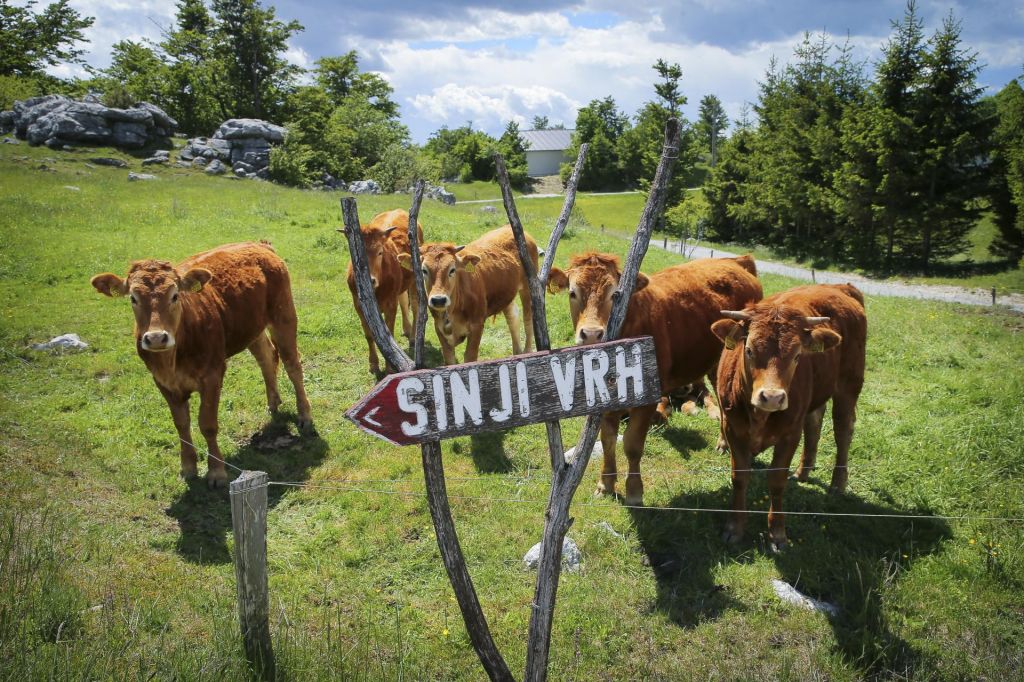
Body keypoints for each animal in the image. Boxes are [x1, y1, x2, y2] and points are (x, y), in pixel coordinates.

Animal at [92, 241, 315, 485]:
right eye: (133, 298)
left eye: (175, 295)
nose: (156, 337)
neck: (173, 359)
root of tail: (258, 245)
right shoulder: (163, 382)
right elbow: (181, 424)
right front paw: (188, 467)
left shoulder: (212, 375)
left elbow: (207, 424)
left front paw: (217, 472)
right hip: (251, 328)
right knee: (267, 358)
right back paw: (273, 403)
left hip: (284, 316)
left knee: (292, 365)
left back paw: (305, 415)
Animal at [344, 209, 423, 374]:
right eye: (356, 255)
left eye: (380, 252)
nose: (371, 280)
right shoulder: (359, 305)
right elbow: (369, 335)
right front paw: (373, 364)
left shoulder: (390, 304)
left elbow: (389, 334)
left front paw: (389, 368)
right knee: (404, 302)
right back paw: (407, 329)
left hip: (414, 279)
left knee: (415, 306)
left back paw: (413, 337)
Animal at [399, 224, 540, 364]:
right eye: (424, 270)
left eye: (452, 270)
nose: (439, 300)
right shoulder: (439, 328)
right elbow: (449, 359)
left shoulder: (477, 325)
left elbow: (470, 357)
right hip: (507, 294)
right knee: (513, 317)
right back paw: (517, 352)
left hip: (528, 287)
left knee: (528, 320)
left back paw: (527, 351)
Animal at [552, 251, 761, 501]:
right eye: (572, 293)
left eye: (615, 295)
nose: (592, 334)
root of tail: (737, 261)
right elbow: (608, 439)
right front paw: (605, 484)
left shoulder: (648, 400)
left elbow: (632, 445)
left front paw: (634, 490)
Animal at [716, 284, 868, 548]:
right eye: (749, 350)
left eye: (798, 355)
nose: (772, 397)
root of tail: (840, 287)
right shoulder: (732, 429)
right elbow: (740, 478)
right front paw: (734, 527)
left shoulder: (789, 434)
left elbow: (777, 481)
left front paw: (777, 533)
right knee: (814, 424)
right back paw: (803, 471)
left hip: (849, 386)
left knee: (843, 432)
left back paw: (837, 483)